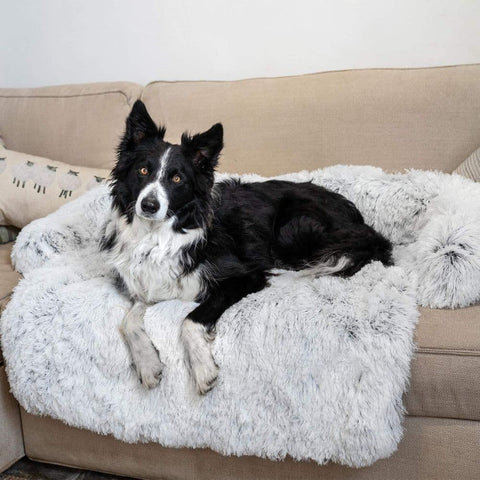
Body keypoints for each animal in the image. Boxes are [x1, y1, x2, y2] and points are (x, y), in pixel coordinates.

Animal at [103, 100, 392, 394]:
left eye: (176, 179)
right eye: (143, 171)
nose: (149, 206)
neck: (160, 236)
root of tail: (360, 221)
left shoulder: (244, 277)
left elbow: (190, 320)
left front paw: (203, 369)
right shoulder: (152, 286)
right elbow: (128, 322)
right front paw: (148, 364)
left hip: (292, 228)